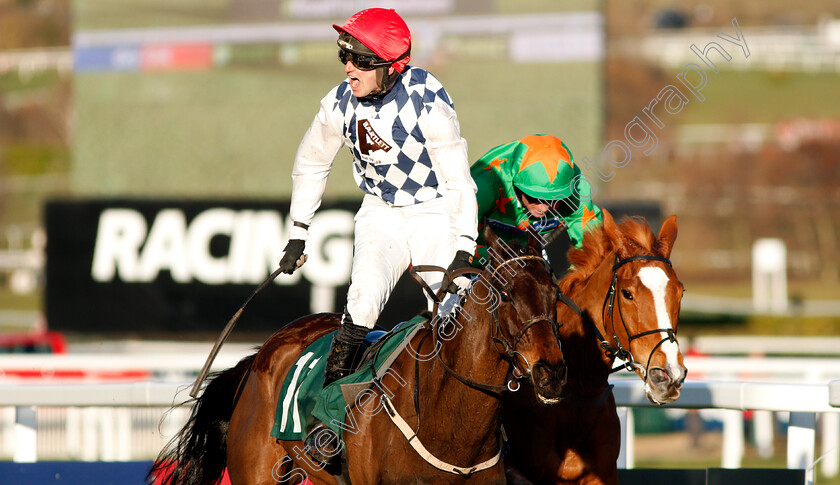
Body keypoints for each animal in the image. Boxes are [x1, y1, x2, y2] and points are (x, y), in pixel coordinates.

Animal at [153, 229, 568, 484]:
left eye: (556, 294)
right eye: (507, 295)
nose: (551, 372)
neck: (448, 425)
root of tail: (259, 356)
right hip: (256, 468)